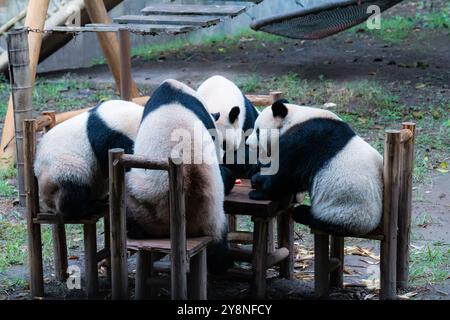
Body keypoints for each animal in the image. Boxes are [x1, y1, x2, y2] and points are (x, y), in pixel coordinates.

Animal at [246, 99, 384, 235]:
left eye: (257, 131)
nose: (248, 143)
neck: (295, 119)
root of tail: (371, 226)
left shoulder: (306, 141)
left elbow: (285, 175)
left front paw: (258, 187)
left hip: (342, 211)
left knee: (317, 217)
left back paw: (302, 212)